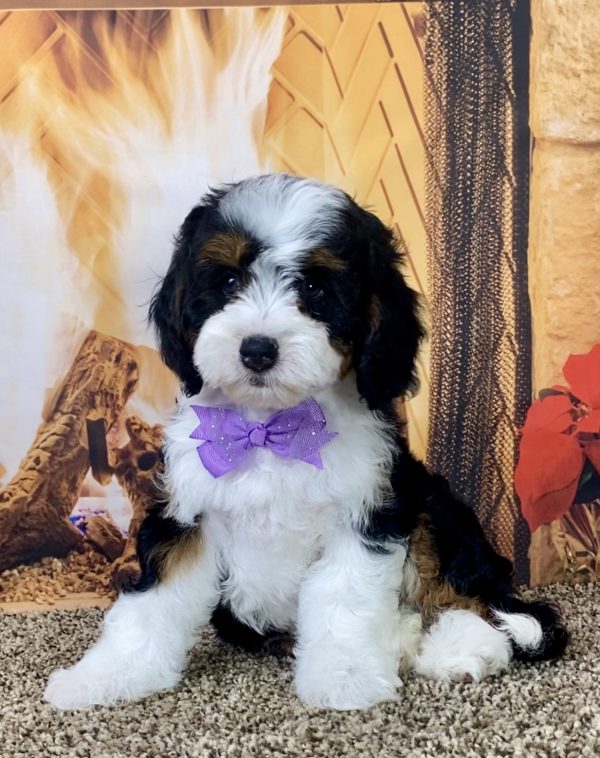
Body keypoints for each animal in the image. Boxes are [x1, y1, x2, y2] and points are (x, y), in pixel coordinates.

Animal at [45, 172, 568, 712]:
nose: (257, 350)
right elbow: (152, 600)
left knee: (472, 599)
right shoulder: (184, 511)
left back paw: (459, 649)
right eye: (228, 282)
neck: (269, 429)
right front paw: (106, 676)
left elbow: (343, 598)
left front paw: (345, 678)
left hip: (428, 504)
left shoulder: (366, 509)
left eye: (315, 288)